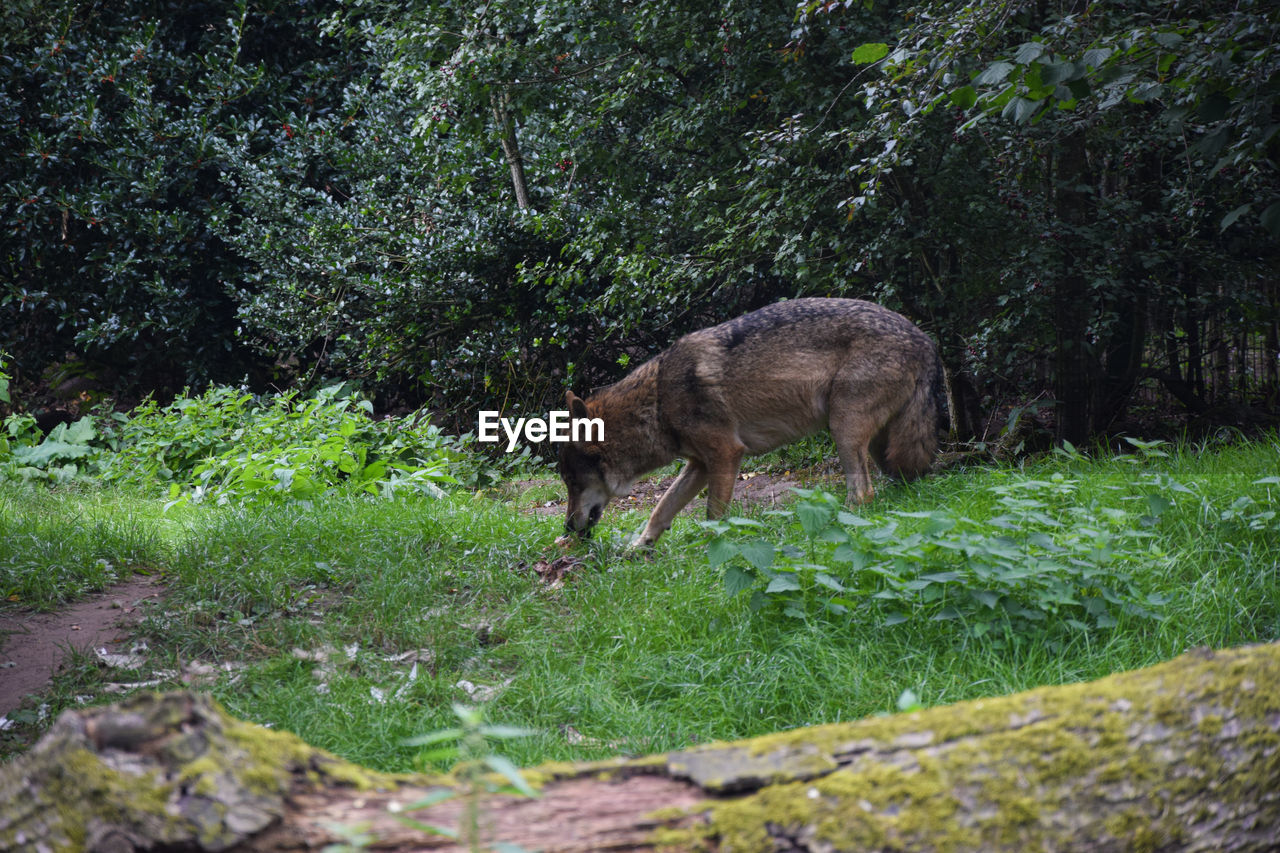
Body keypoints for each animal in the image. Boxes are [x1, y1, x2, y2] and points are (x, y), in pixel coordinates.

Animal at [558, 295, 942, 540]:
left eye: (573, 482)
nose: (567, 528)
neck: (658, 402)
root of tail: (924, 339)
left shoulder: (726, 454)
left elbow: (713, 516)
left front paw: (712, 550)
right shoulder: (700, 464)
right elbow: (662, 509)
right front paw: (639, 549)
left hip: (842, 428)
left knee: (862, 494)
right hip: (879, 446)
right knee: (892, 486)